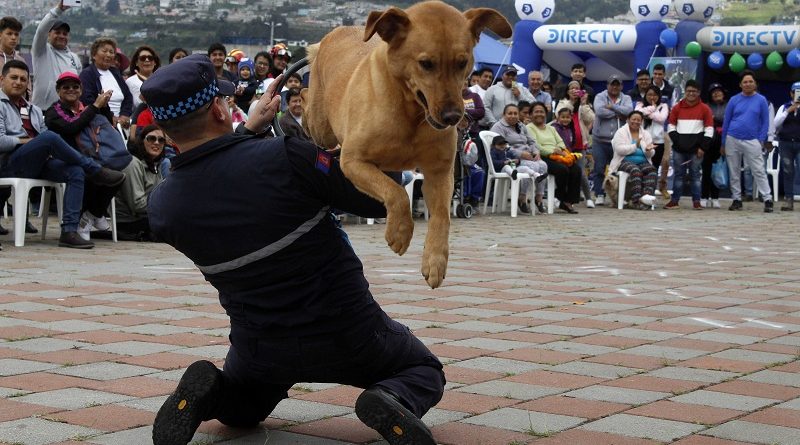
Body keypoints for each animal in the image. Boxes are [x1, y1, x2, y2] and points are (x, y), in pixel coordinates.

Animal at [304, 0, 510, 288]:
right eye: (426, 63)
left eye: (462, 62)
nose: (453, 117)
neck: (411, 114)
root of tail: (340, 30)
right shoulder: (353, 161)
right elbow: (397, 193)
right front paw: (400, 233)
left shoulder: (440, 171)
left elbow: (442, 215)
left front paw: (435, 261)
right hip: (321, 126)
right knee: (307, 112)